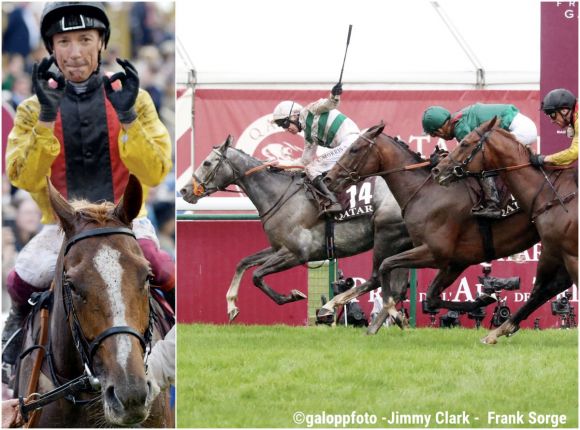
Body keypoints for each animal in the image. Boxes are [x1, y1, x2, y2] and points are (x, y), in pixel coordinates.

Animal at [179, 136, 410, 324]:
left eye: (207, 162)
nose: (184, 190)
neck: (279, 194)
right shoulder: (278, 248)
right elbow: (243, 263)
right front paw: (231, 306)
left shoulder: (297, 253)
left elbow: (257, 275)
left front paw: (291, 296)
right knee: (396, 286)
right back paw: (395, 319)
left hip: (386, 236)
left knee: (378, 278)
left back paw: (330, 307)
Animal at [324, 122, 540, 338]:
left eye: (354, 149)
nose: (328, 178)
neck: (425, 193)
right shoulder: (455, 261)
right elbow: (431, 297)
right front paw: (485, 299)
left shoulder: (436, 252)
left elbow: (386, 265)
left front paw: (393, 311)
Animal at [430, 116, 576, 342]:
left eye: (464, 143)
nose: (437, 170)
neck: (553, 194)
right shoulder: (555, 250)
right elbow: (541, 290)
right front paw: (499, 329)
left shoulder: (568, 253)